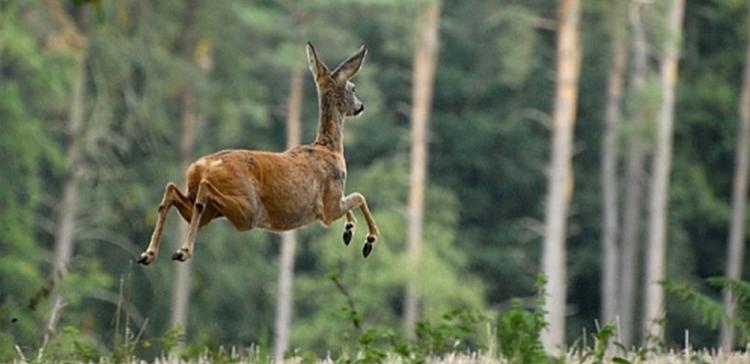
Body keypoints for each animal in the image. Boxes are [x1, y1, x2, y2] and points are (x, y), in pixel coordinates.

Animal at [137, 42, 382, 264]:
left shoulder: (333, 203)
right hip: (248, 210)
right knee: (204, 191)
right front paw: (369, 240)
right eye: (353, 88)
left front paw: (349, 230)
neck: (328, 148)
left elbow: (354, 200)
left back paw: (149, 254)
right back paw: (182, 251)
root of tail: (203, 166)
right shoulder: (328, 207)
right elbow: (359, 197)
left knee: (172, 191)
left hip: (213, 211)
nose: (361, 106)